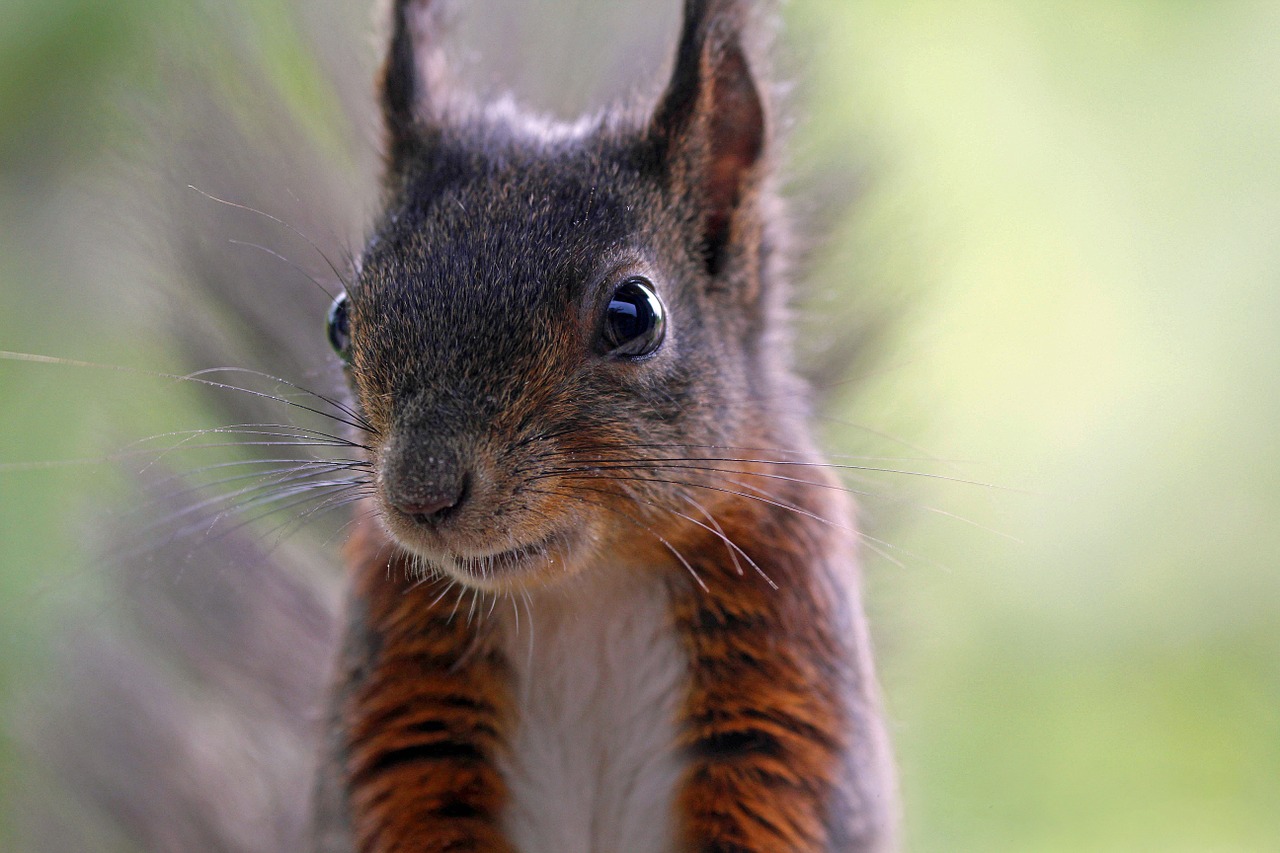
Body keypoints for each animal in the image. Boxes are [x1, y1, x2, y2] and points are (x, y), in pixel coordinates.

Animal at [304, 0, 896, 845]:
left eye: (633, 313)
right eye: (340, 320)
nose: (419, 492)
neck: (588, 588)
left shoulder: (793, 681)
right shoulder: (394, 693)